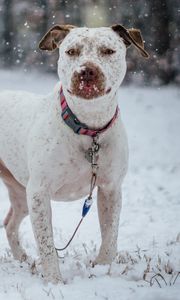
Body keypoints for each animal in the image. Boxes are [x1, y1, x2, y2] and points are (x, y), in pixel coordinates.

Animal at [0, 24, 149, 284]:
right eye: (71, 51)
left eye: (108, 50)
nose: (86, 71)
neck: (89, 127)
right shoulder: (39, 192)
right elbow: (47, 244)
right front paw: (54, 282)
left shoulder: (111, 189)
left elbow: (110, 236)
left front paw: (102, 270)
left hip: (20, 191)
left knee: (10, 223)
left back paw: (23, 259)